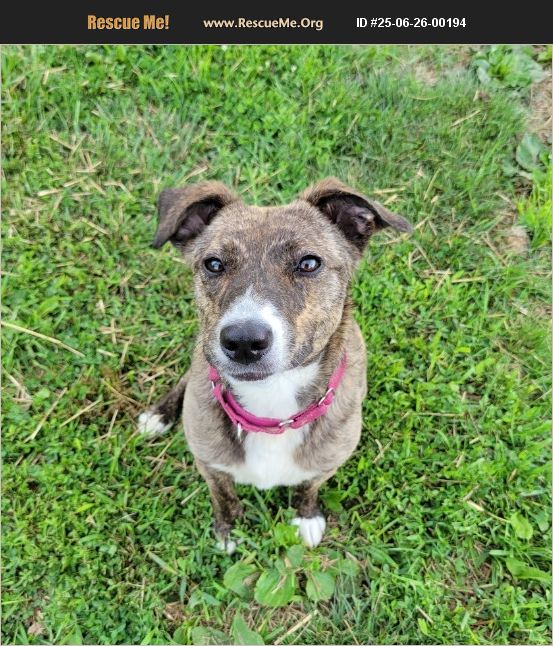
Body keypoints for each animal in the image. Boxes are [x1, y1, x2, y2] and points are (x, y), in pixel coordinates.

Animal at [138, 178, 412, 552]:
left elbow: (308, 486)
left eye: (309, 263)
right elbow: (223, 495)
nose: (243, 341)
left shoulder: (327, 462)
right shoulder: (208, 463)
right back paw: (159, 415)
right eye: (213, 264)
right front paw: (228, 529)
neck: (271, 404)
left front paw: (305, 517)